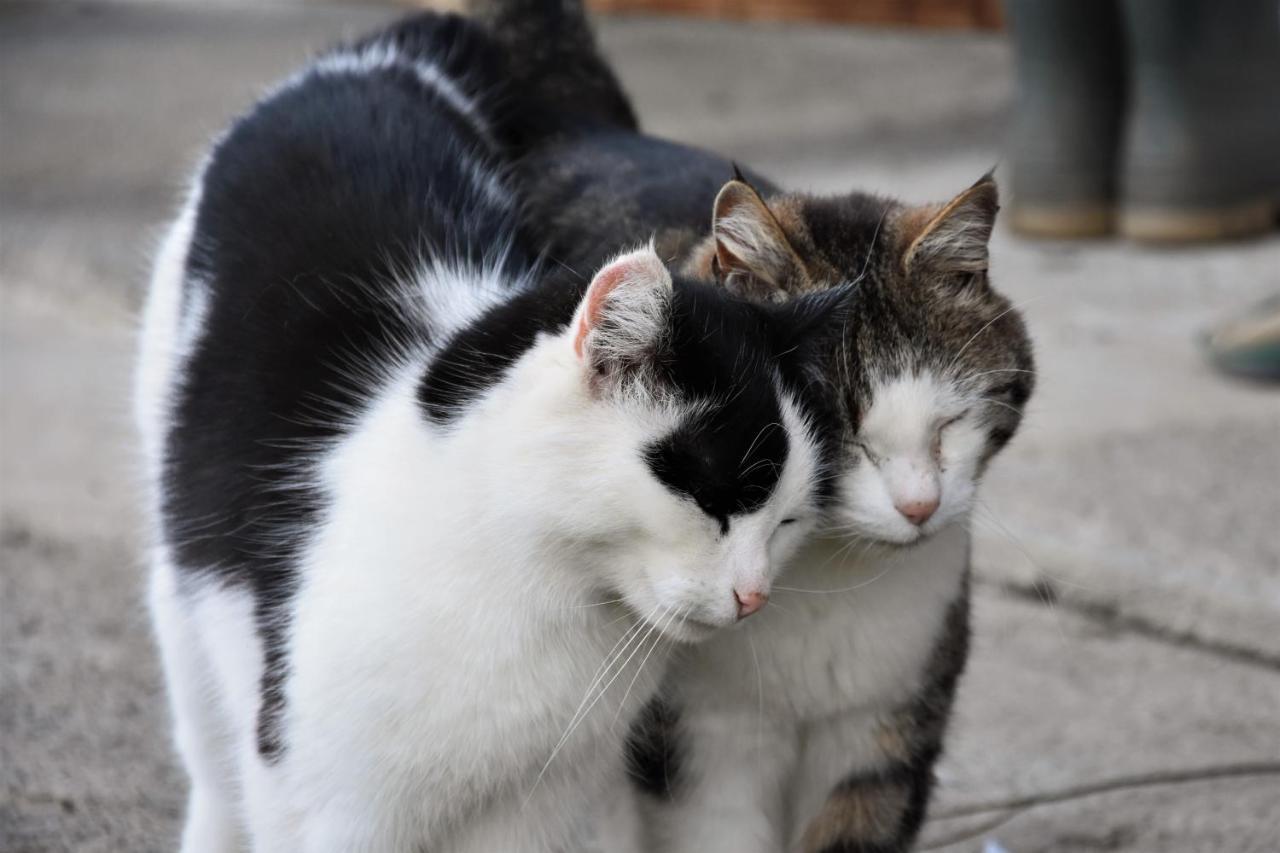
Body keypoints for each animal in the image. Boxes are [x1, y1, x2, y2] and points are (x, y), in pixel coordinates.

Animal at [137, 14, 839, 850]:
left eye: (788, 521)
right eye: (714, 501)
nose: (755, 594)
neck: (538, 598)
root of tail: (382, 57)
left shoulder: (535, 807)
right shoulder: (333, 805)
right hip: (187, 615)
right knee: (211, 764)